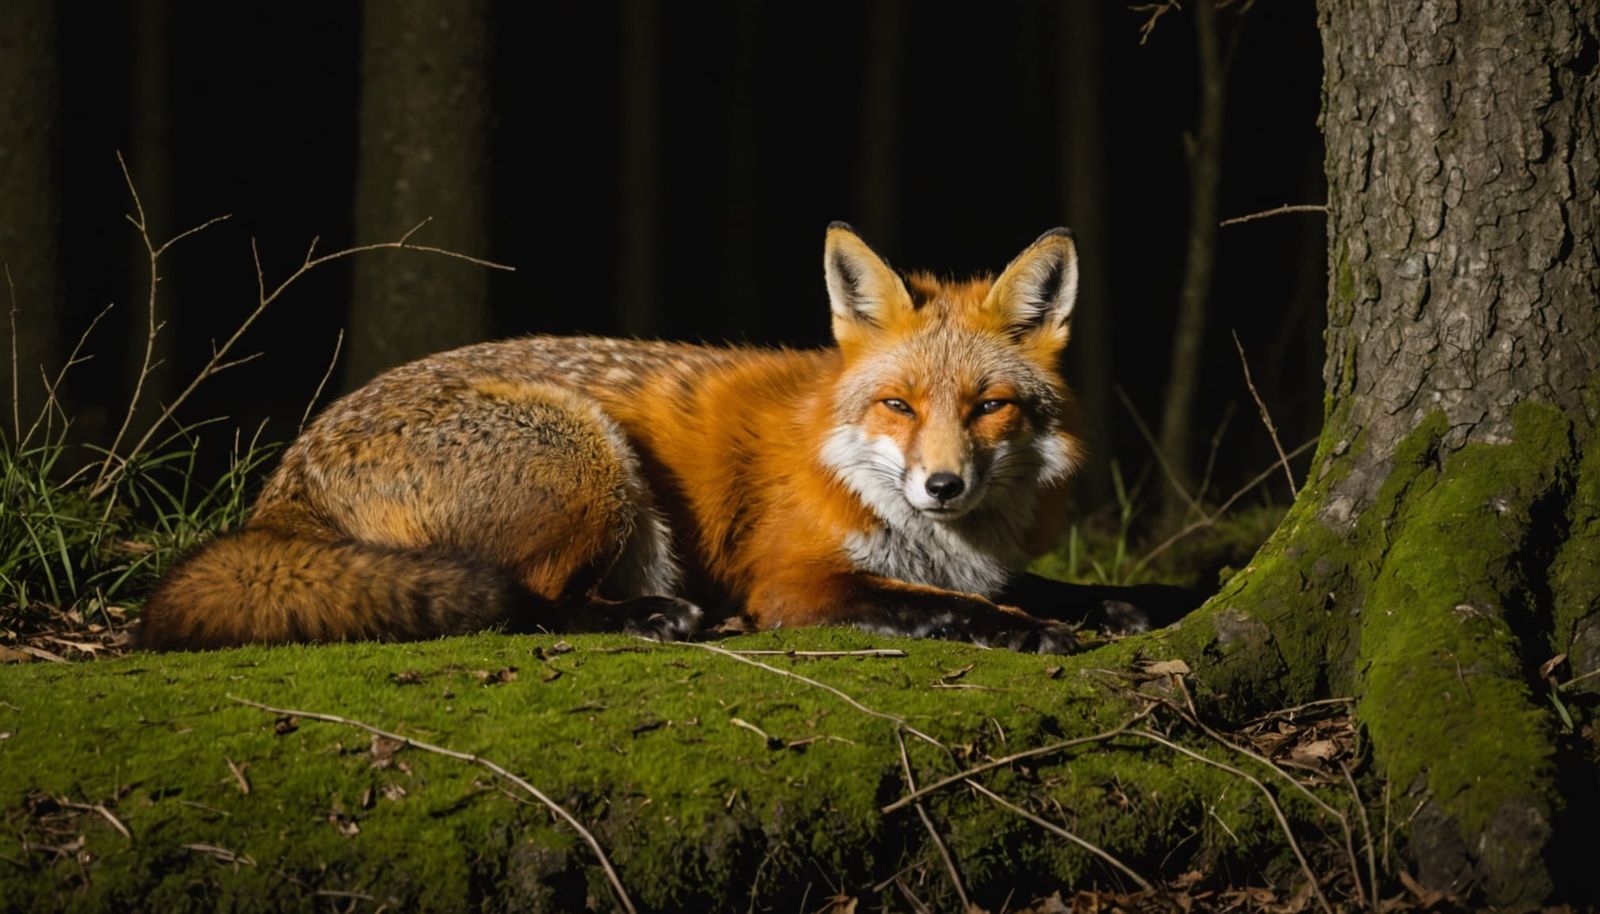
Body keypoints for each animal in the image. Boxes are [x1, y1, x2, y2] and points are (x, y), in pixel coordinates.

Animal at [139, 224, 1152, 653]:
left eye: (989, 407)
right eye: (898, 406)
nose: (943, 486)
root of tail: (287, 485)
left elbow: (1031, 587)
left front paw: (1123, 601)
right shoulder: (794, 582)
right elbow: (943, 606)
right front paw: (1027, 632)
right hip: (592, 464)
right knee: (526, 601)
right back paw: (654, 617)